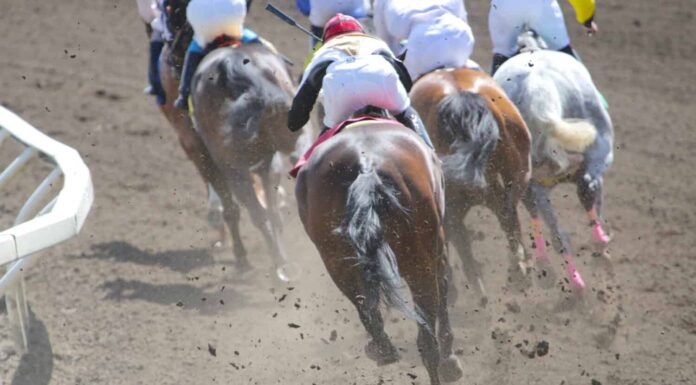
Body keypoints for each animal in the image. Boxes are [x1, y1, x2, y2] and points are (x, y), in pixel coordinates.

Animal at [294, 118, 462, 382]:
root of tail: (367, 165)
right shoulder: (439, 249)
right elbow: (444, 289)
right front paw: (451, 362)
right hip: (419, 260)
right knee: (427, 337)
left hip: (335, 260)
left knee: (364, 305)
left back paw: (383, 349)